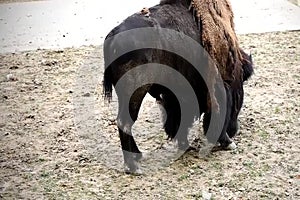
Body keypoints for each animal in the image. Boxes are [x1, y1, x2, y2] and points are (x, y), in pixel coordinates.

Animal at [102, 0, 253, 173]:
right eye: (242, 84)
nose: (234, 130)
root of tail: (113, 35)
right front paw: (227, 142)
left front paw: (185, 145)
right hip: (135, 92)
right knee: (124, 122)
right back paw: (133, 167)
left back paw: (138, 155)